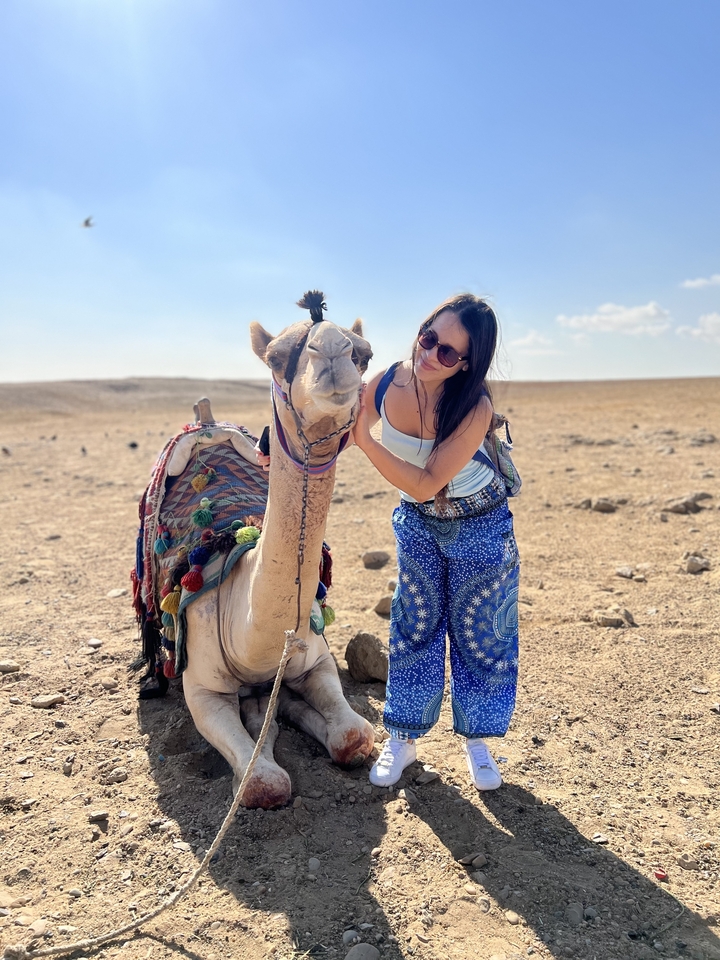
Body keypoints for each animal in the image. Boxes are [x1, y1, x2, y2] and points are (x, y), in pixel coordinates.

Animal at [180, 293, 375, 809]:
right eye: (274, 357)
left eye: (364, 354)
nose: (333, 351)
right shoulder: (202, 689)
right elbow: (263, 783)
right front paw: (251, 763)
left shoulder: (317, 658)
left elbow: (355, 735)